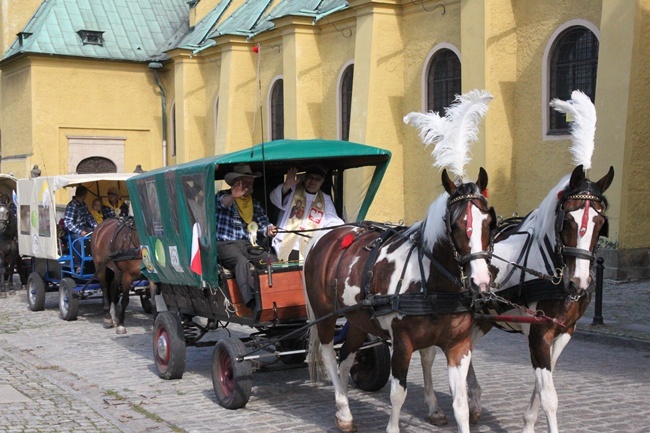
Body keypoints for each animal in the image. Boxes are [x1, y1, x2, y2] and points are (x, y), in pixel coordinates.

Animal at [302, 167, 494, 430]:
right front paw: (393, 426)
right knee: (330, 355)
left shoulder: (459, 346)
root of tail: (323, 237)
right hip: (324, 316)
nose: (481, 280)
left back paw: (344, 405)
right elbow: (398, 394)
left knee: (346, 358)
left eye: (489, 222)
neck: (431, 283)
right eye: (455, 225)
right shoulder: (402, 343)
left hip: (358, 320)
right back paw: (343, 409)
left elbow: (460, 405)